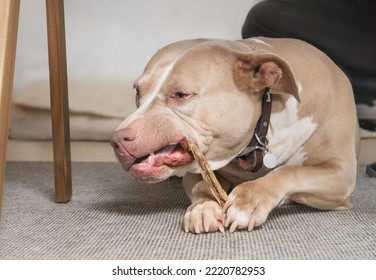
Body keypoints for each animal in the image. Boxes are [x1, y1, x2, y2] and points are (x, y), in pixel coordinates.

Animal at [110, 37, 360, 234]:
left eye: (180, 94)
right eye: (138, 93)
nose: (117, 139)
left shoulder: (342, 174)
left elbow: (290, 172)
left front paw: (249, 201)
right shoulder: (196, 169)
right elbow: (202, 186)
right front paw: (202, 208)